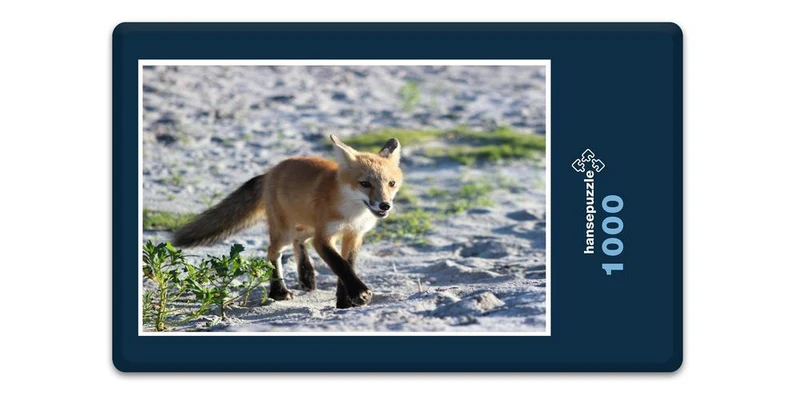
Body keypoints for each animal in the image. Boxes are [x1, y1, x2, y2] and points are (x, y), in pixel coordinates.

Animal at [173, 135, 403, 308]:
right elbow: (340, 265)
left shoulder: (354, 235)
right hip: (285, 231)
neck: (352, 213)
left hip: (306, 227)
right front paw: (359, 293)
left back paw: (306, 276)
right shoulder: (323, 237)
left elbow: (347, 266)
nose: (384, 205)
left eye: (391, 183)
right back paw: (279, 291)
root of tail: (270, 172)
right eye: (365, 184)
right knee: (273, 252)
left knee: (298, 242)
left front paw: (344, 302)